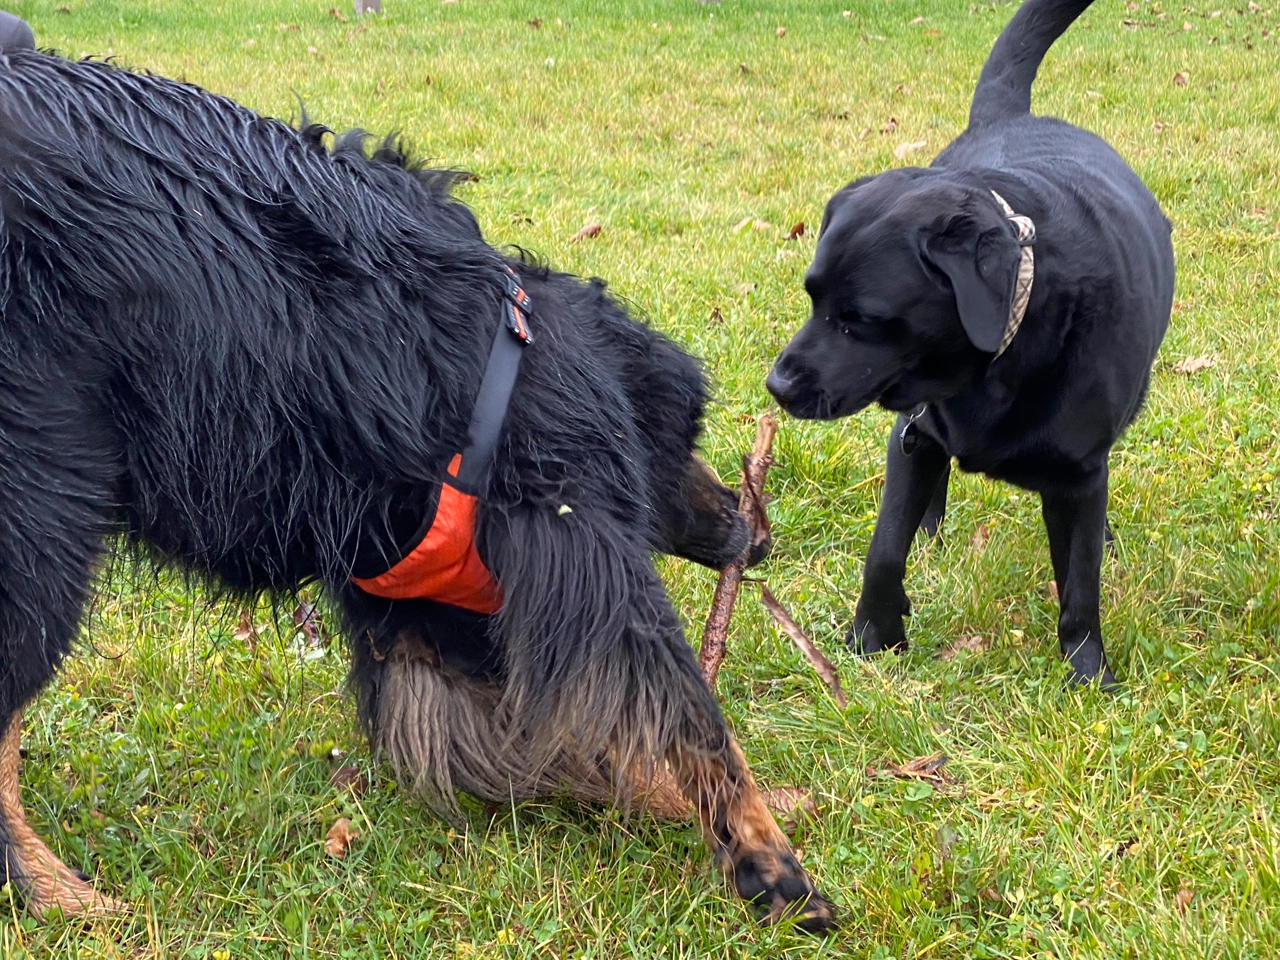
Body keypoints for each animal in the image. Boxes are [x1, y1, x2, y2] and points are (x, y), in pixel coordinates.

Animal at [0, 37, 834, 931]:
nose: (758, 533)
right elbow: (688, 718)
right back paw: (58, 893)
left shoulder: (430, 631)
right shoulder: (577, 541)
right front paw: (770, 861)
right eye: (689, 443)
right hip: (44, 534)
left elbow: (589, 745)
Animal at [762, 0, 1172, 691]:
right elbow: (884, 549)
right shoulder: (913, 433)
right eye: (812, 297)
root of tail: (1011, 117)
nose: (778, 386)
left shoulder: (1080, 476)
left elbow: (1080, 587)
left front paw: (1088, 675)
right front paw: (872, 640)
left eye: (861, 320)